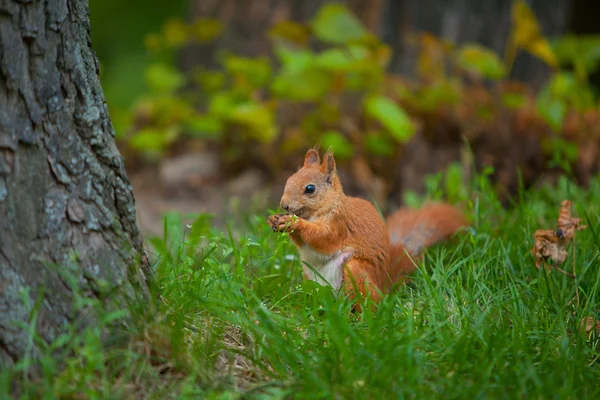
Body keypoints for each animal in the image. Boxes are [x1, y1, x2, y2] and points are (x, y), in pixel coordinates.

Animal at [268, 148, 468, 310]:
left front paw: (295, 223)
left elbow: (323, 238)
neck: (315, 213)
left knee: (370, 303)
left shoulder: (339, 224)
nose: (284, 205)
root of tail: (384, 284)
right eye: (289, 180)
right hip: (311, 277)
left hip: (356, 271)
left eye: (310, 189)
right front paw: (274, 219)